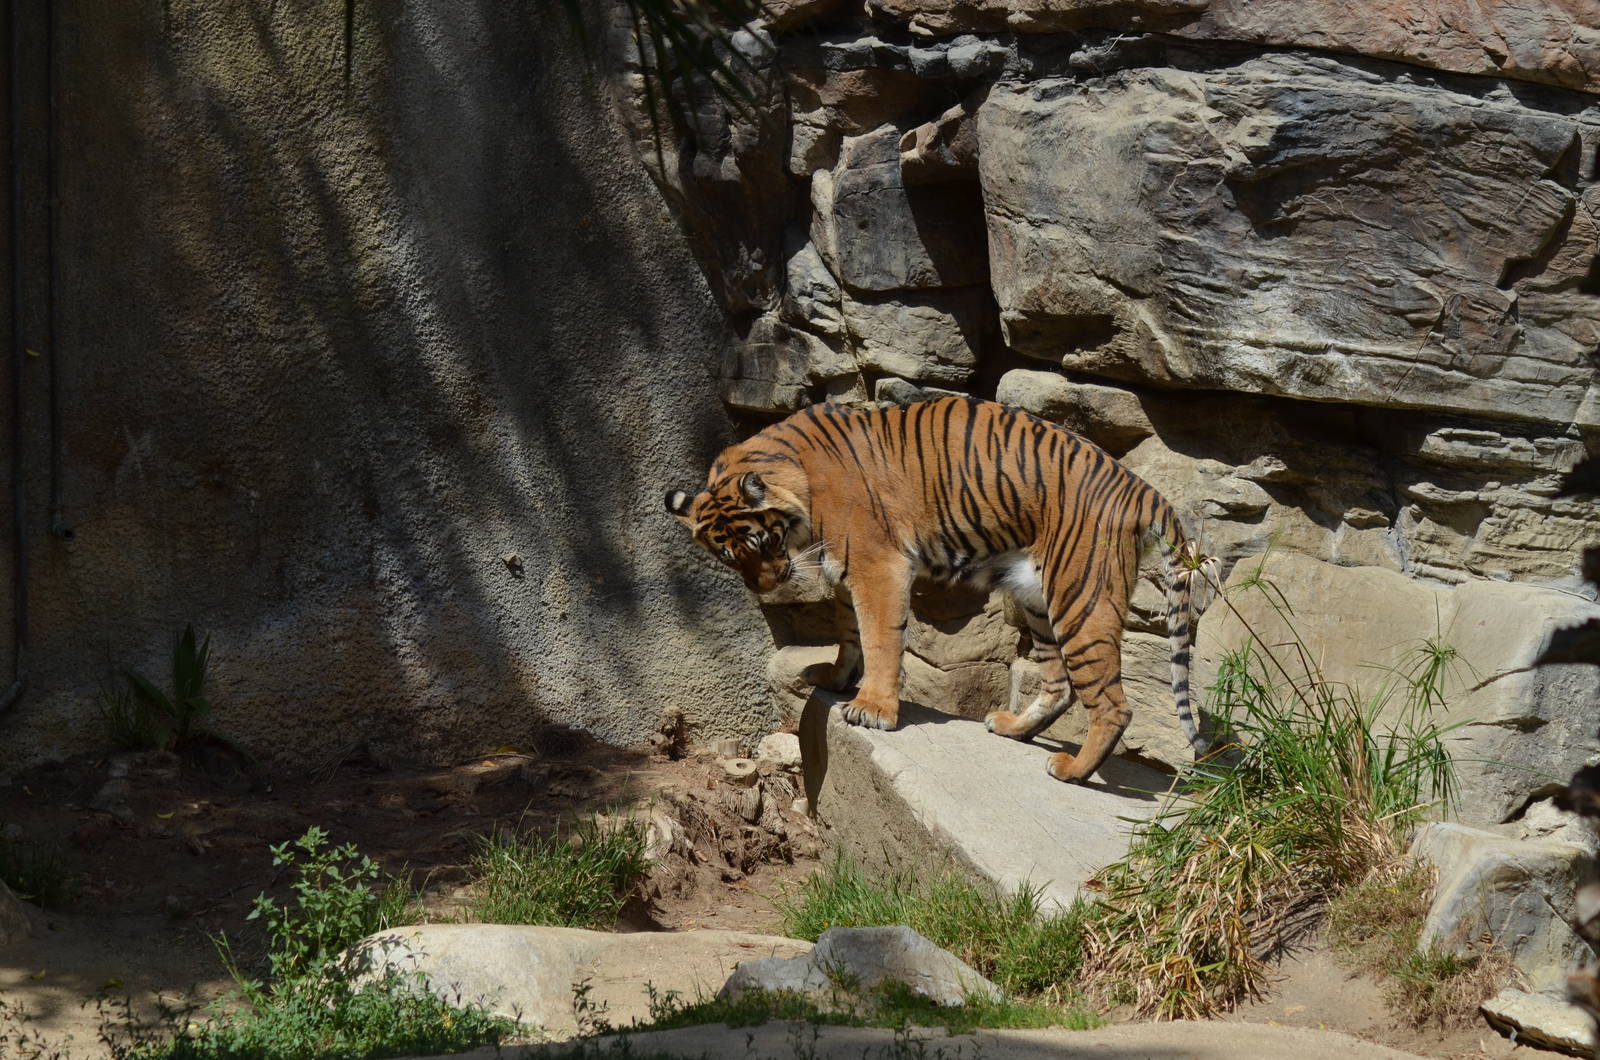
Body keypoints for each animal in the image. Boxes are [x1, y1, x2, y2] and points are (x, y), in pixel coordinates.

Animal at [665, 396, 1219, 785]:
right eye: (729, 557)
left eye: (762, 542)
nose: (768, 585)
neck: (797, 478)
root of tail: (1142, 487)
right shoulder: (845, 569)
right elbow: (849, 632)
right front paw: (837, 677)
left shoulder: (877, 565)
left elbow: (880, 638)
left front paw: (872, 708)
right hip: (1037, 597)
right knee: (1059, 683)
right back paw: (1014, 729)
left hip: (1081, 598)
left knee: (1112, 704)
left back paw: (1072, 770)